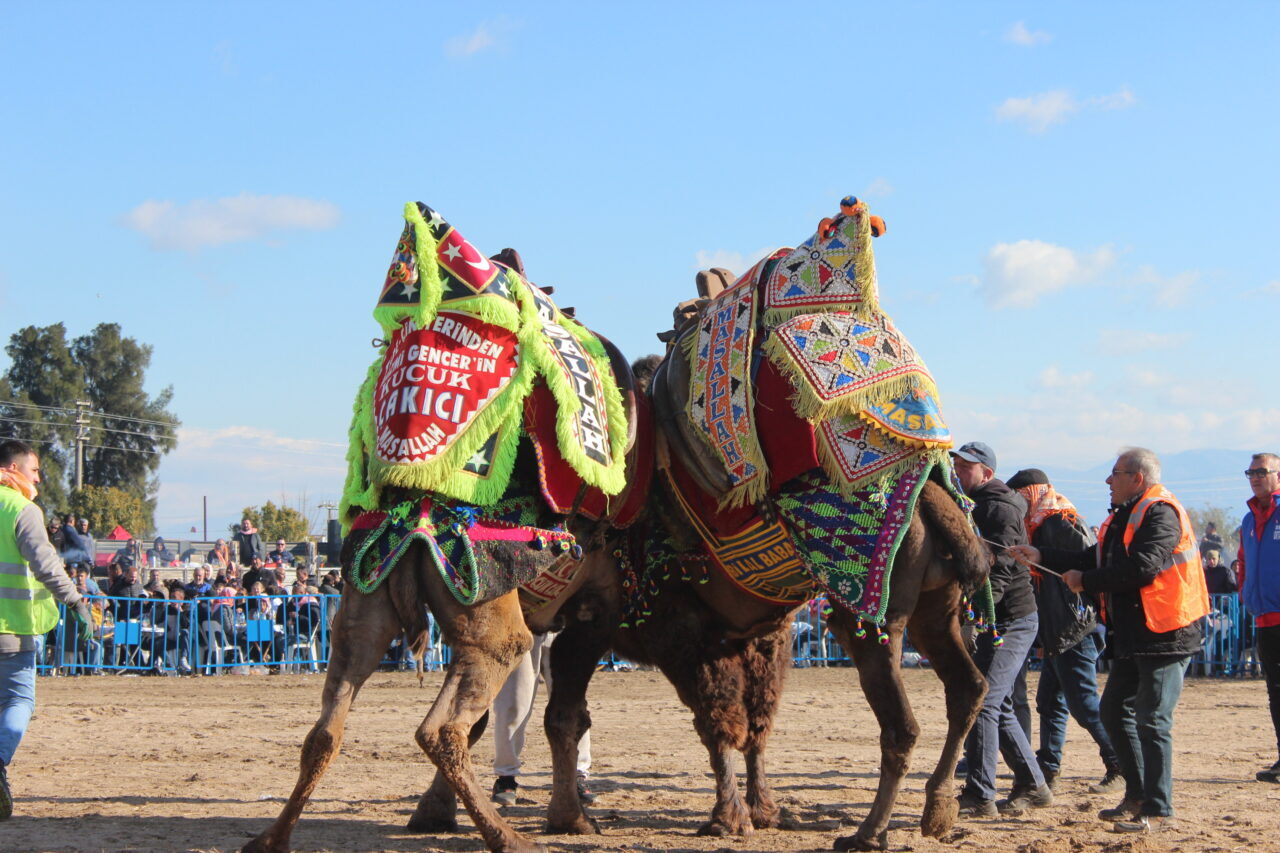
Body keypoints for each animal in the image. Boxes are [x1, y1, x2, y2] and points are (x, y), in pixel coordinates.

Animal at [240, 202, 655, 850]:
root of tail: (413, 522)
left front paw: (435, 813)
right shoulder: (593, 609)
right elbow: (563, 714)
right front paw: (570, 818)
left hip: (361, 611)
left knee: (325, 730)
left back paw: (273, 838)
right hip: (489, 625)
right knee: (440, 730)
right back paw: (506, 837)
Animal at [540, 194, 998, 850]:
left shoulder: (675, 626)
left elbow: (714, 724)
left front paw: (726, 816)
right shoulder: (760, 635)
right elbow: (752, 725)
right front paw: (762, 810)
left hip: (871, 619)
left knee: (903, 724)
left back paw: (868, 831)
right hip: (939, 611)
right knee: (967, 690)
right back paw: (936, 810)